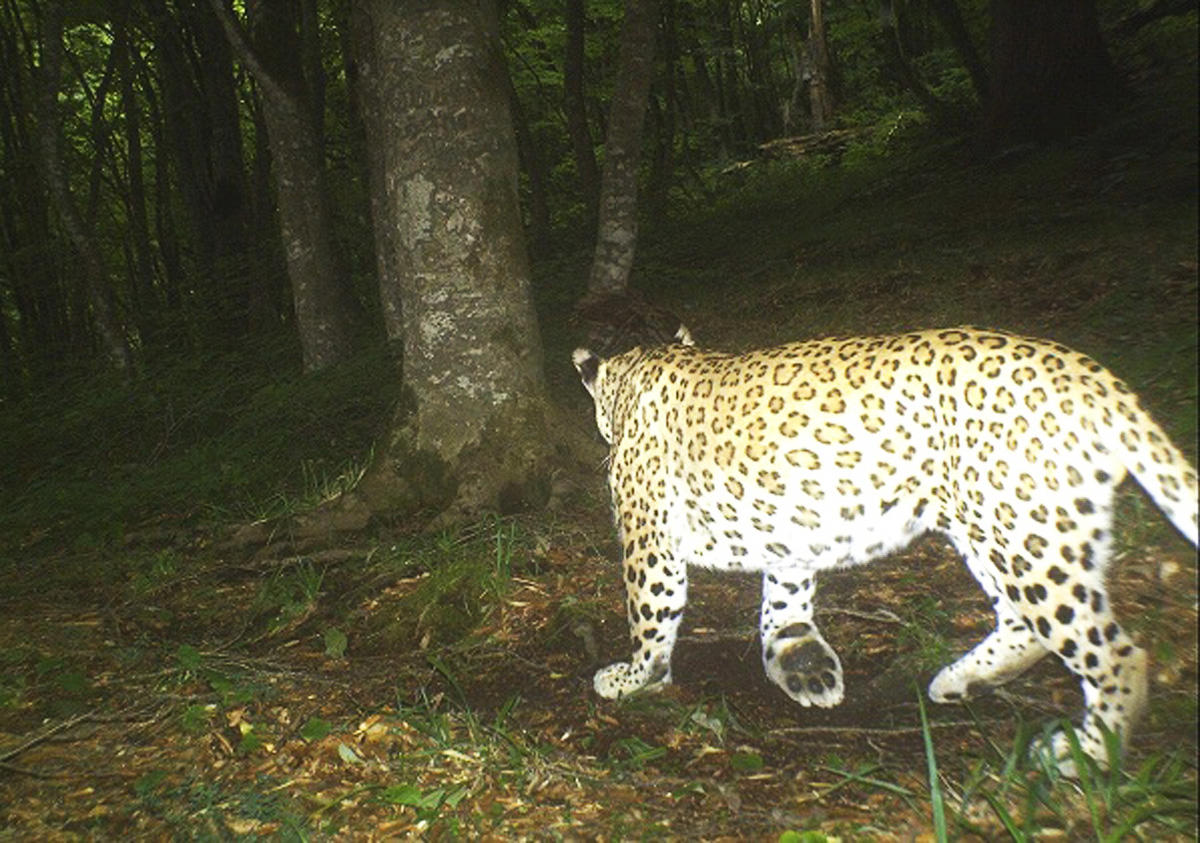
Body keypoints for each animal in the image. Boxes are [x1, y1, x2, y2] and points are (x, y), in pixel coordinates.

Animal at [576, 326, 1195, 778]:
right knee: (1027, 625)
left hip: (1024, 534)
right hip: (992, 529)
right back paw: (960, 682)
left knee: (1116, 653)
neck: (636, 375)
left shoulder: (649, 539)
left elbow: (650, 613)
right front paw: (802, 665)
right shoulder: (790, 524)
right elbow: (785, 602)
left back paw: (1085, 754)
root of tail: (1095, 376)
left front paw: (633, 678)